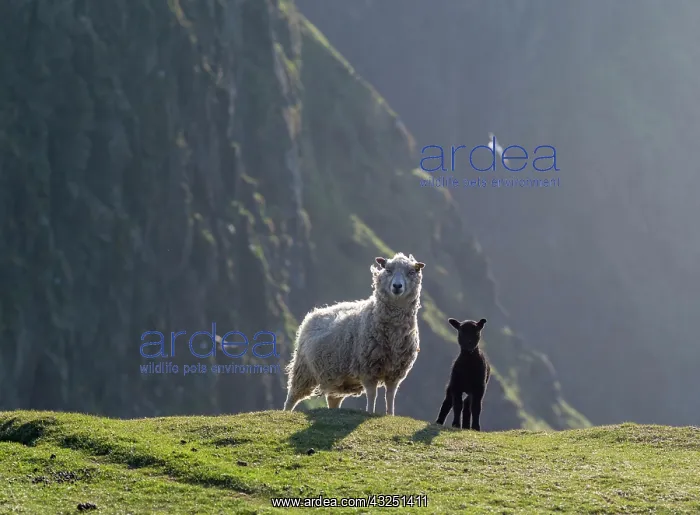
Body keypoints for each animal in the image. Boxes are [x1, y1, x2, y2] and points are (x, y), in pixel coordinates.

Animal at [283, 252, 426, 415]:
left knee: (333, 399)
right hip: (303, 370)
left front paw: (390, 415)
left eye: (411, 272)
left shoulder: (395, 372)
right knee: (292, 396)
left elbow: (390, 396)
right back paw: (286, 412)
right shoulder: (368, 369)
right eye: (388, 270)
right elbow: (372, 394)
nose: (397, 286)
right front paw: (370, 412)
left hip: (335, 378)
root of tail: (314, 313)